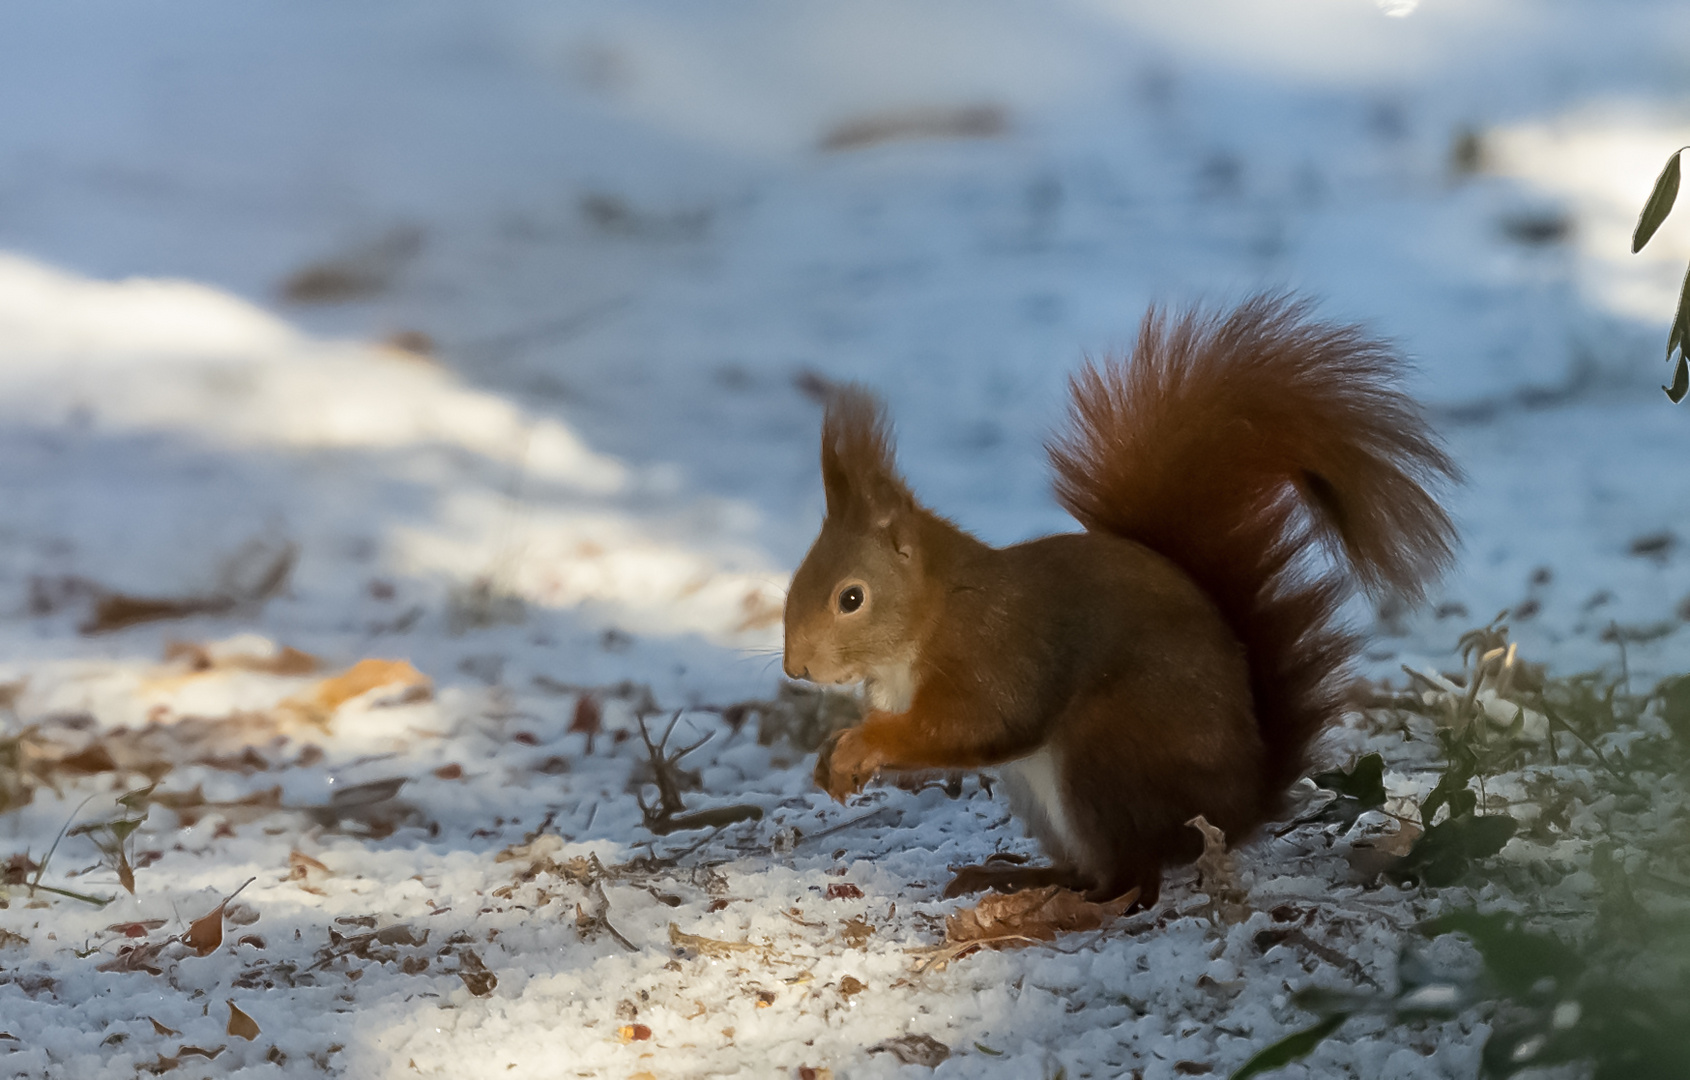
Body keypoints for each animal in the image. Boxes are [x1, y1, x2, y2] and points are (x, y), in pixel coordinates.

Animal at [777, 295, 1453, 905]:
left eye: (851, 598)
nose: (796, 667)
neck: (931, 615)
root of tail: (1238, 809)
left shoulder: (996, 649)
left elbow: (979, 721)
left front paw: (862, 745)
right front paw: (830, 761)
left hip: (1107, 755)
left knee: (1134, 879)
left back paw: (1066, 909)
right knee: (1096, 869)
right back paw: (1021, 878)